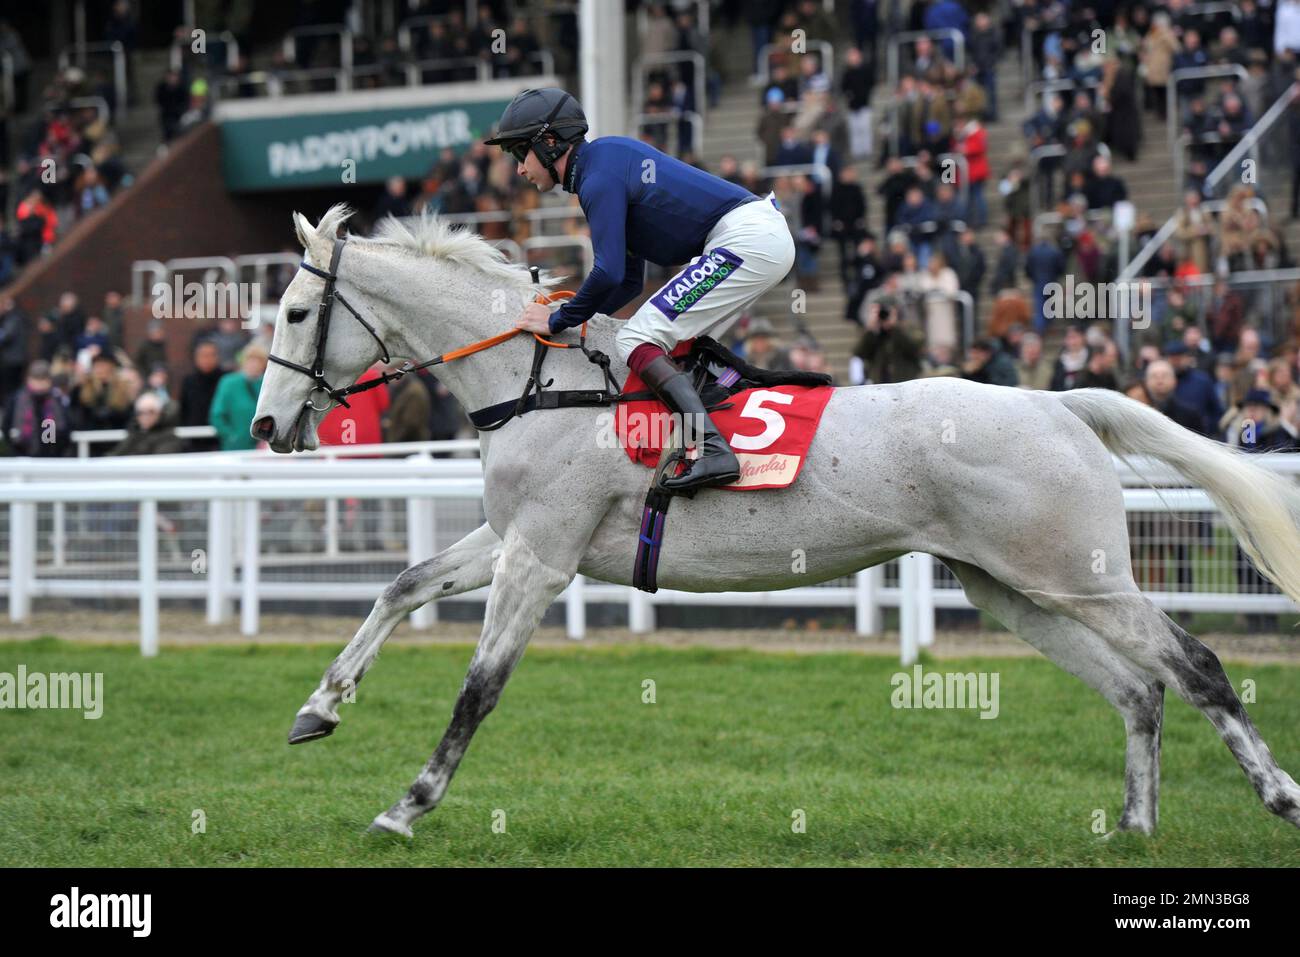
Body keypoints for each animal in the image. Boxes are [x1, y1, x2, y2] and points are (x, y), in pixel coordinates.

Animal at [250, 208, 1300, 837]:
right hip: (1013, 587)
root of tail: (1061, 402)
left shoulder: (541, 557)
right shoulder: (514, 540)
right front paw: (318, 706)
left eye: (298, 312)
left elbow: (478, 689)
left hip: (1077, 574)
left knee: (1197, 666)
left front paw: (409, 802)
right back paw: (1135, 825)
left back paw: (1278, 794)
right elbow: (401, 584)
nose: (263, 428)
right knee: (1139, 689)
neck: (539, 379)